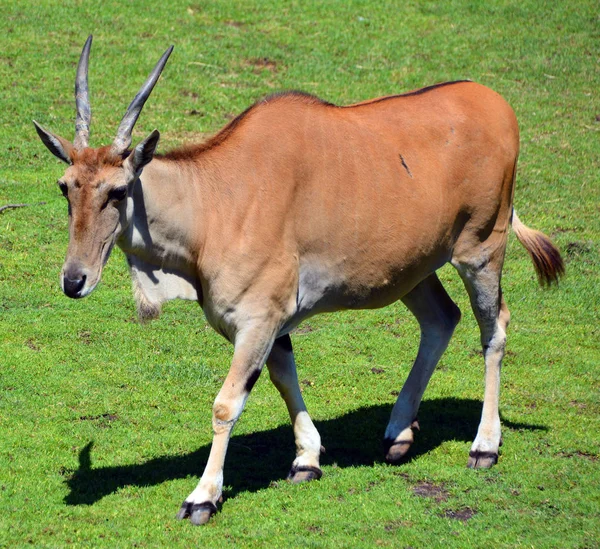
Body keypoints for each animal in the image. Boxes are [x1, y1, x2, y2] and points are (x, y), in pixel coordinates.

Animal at [36, 36, 564, 524]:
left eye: (118, 191)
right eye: (66, 187)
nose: (74, 280)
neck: (216, 200)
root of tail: (493, 102)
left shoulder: (259, 319)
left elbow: (227, 404)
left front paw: (203, 496)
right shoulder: (272, 324)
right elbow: (284, 377)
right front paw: (308, 458)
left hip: (481, 252)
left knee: (494, 330)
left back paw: (484, 445)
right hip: (414, 270)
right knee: (442, 319)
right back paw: (398, 432)